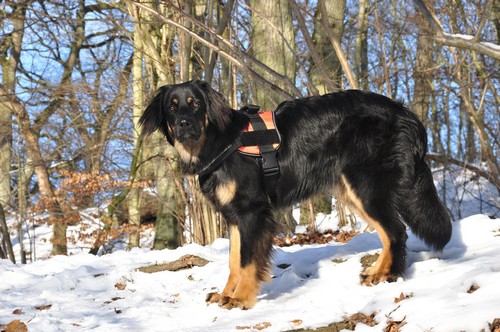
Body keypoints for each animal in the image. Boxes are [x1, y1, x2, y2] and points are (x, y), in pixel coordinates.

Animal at [141, 79, 454, 310]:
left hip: (365, 186)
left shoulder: (253, 212)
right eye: (172, 107)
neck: (219, 142)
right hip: (350, 190)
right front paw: (226, 294)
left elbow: (247, 260)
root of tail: (405, 114)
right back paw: (379, 270)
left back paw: (385, 275)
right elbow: (234, 260)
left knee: (396, 231)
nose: (184, 123)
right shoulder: (235, 217)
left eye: (195, 104)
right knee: (389, 233)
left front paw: (241, 298)